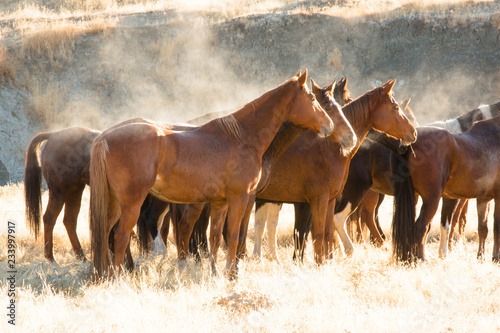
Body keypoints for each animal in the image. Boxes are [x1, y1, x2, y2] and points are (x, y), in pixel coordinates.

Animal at [89, 70, 344, 278]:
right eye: (312, 99)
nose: (330, 127)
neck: (241, 138)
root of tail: (104, 137)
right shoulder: (240, 198)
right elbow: (233, 235)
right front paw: (232, 274)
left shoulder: (220, 202)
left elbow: (213, 237)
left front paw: (215, 272)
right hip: (131, 204)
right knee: (120, 236)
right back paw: (119, 276)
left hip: (113, 204)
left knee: (105, 234)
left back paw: (106, 274)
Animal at [254, 79, 418, 264]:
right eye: (395, 107)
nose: (413, 133)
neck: (325, 149)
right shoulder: (313, 201)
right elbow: (311, 234)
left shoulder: (329, 199)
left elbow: (326, 233)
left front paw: (326, 262)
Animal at [390, 115, 500, 260]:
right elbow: (496, 228)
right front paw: (495, 258)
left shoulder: (483, 198)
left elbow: (482, 228)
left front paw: (480, 257)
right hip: (432, 199)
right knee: (420, 227)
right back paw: (421, 258)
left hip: (413, 197)